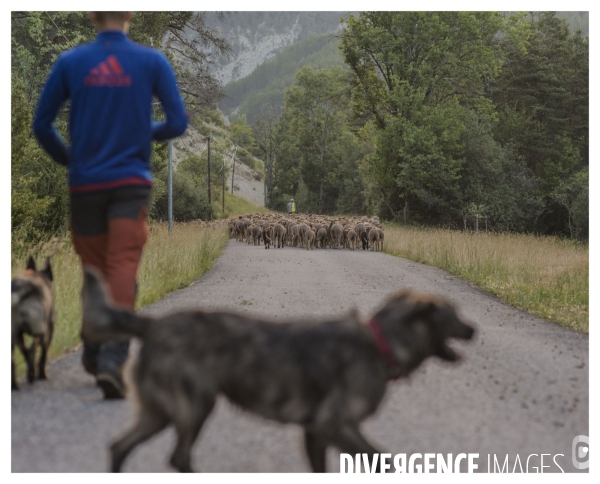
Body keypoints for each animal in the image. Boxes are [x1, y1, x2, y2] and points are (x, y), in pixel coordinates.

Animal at [82, 268, 474, 472]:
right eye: (453, 314)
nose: (474, 329)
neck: (381, 342)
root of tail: (153, 326)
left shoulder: (316, 433)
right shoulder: (336, 424)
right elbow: (383, 461)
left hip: (160, 412)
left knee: (119, 447)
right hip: (196, 405)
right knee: (177, 456)